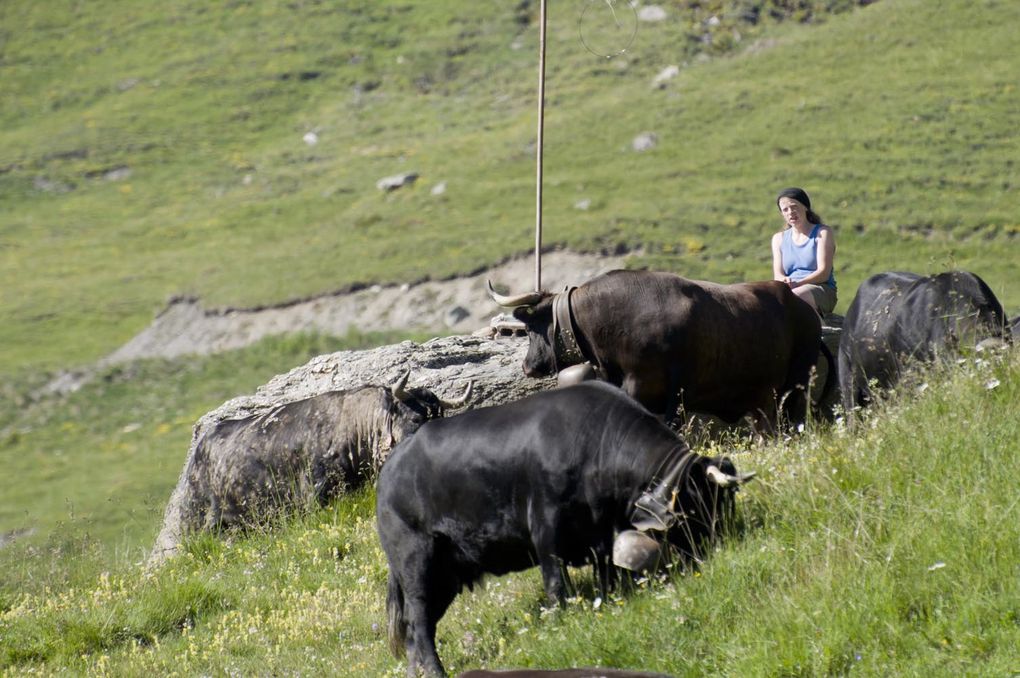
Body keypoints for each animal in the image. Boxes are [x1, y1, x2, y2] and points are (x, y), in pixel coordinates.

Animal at [375, 383, 750, 672]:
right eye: (699, 501)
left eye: (724, 500)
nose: (720, 545)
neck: (595, 442)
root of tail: (390, 471)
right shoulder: (545, 527)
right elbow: (556, 585)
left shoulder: (600, 534)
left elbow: (607, 576)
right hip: (415, 562)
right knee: (420, 622)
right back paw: (437, 670)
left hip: (446, 574)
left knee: (415, 630)